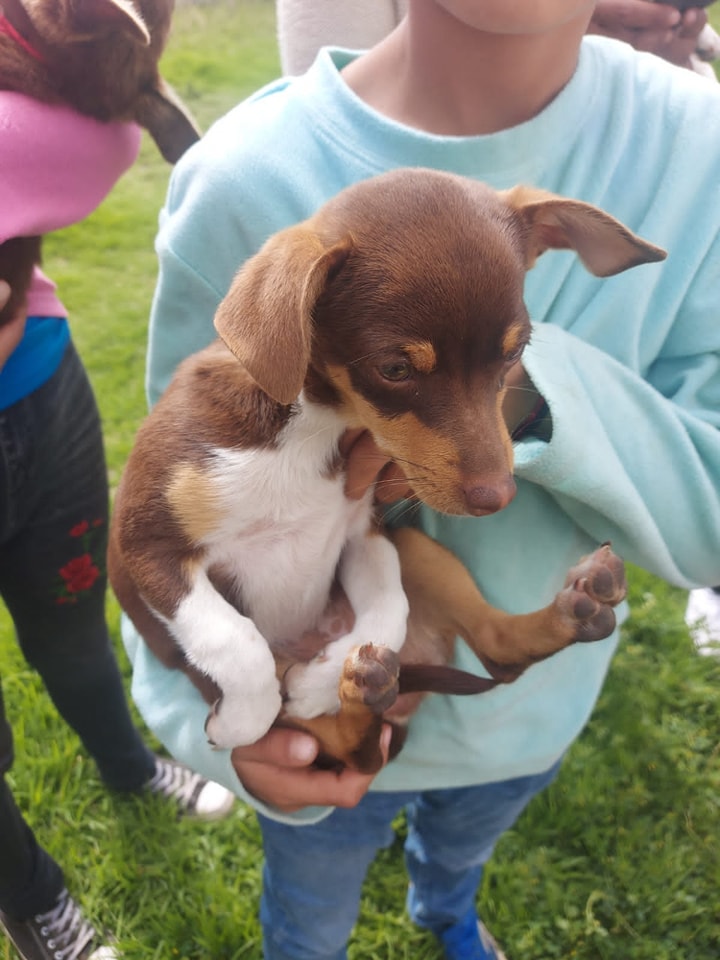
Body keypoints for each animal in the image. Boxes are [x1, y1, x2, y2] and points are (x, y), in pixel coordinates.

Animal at [108, 167, 668, 772]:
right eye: (395, 369)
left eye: (515, 353)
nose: (499, 496)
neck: (315, 428)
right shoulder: (146, 545)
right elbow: (236, 642)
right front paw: (242, 719)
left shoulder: (365, 533)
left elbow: (388, 612)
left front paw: (322, 682)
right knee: (357, 749)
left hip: (419, 549)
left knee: (486, 657)